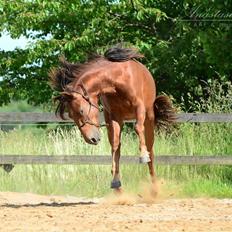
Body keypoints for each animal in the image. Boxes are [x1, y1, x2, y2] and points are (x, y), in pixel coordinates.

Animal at [49, 45, 175, 190]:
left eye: (81, 110)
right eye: (70, 115)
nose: (91, 139)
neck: (116, 79)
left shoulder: (139, 108)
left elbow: (137, 128)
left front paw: (143, 155)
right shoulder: (114, 116)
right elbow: (115, 145)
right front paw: (115, 180)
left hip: (149, 119)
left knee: (151, 152)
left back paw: (154, 184)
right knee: (118, 146)